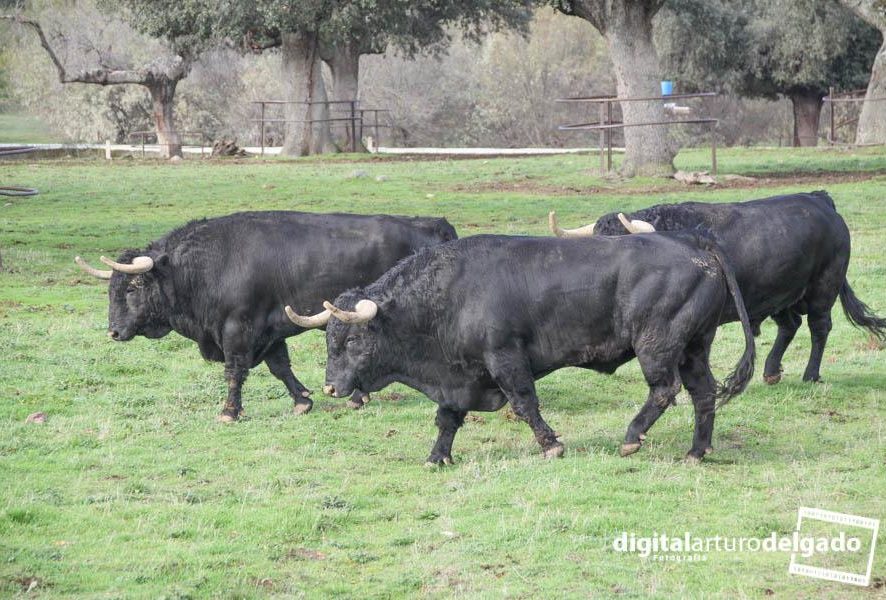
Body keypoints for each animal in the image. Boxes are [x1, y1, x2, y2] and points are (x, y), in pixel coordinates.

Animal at [75, 213, 458, 420]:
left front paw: (229, 412)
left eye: (133, 287)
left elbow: (235, 372)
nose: (113, 332)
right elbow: (280, 367)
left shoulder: (237, 330)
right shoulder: (270, 332)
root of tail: (433, 226)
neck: (204, 265)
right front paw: (302, 400)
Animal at [312, 232, 756, 462]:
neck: (449, 294)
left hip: (658, 347)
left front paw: (552, 445)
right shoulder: (460, 377)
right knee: (703, 394)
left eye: (352, 339)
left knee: (665, 390)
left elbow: (525, 404)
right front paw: (438, 456)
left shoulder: (505, 358)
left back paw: (632, 436)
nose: (330, 387)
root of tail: (701, 252)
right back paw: (697, 451)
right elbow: (447, 418)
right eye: (330, 339)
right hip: (694, 349)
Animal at [556, 192, 886, 384]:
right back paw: (770, 372)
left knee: (819, 328)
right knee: (790, 325)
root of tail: (819, 199)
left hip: (823, 288)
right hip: (778, 295)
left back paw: (810, 375)